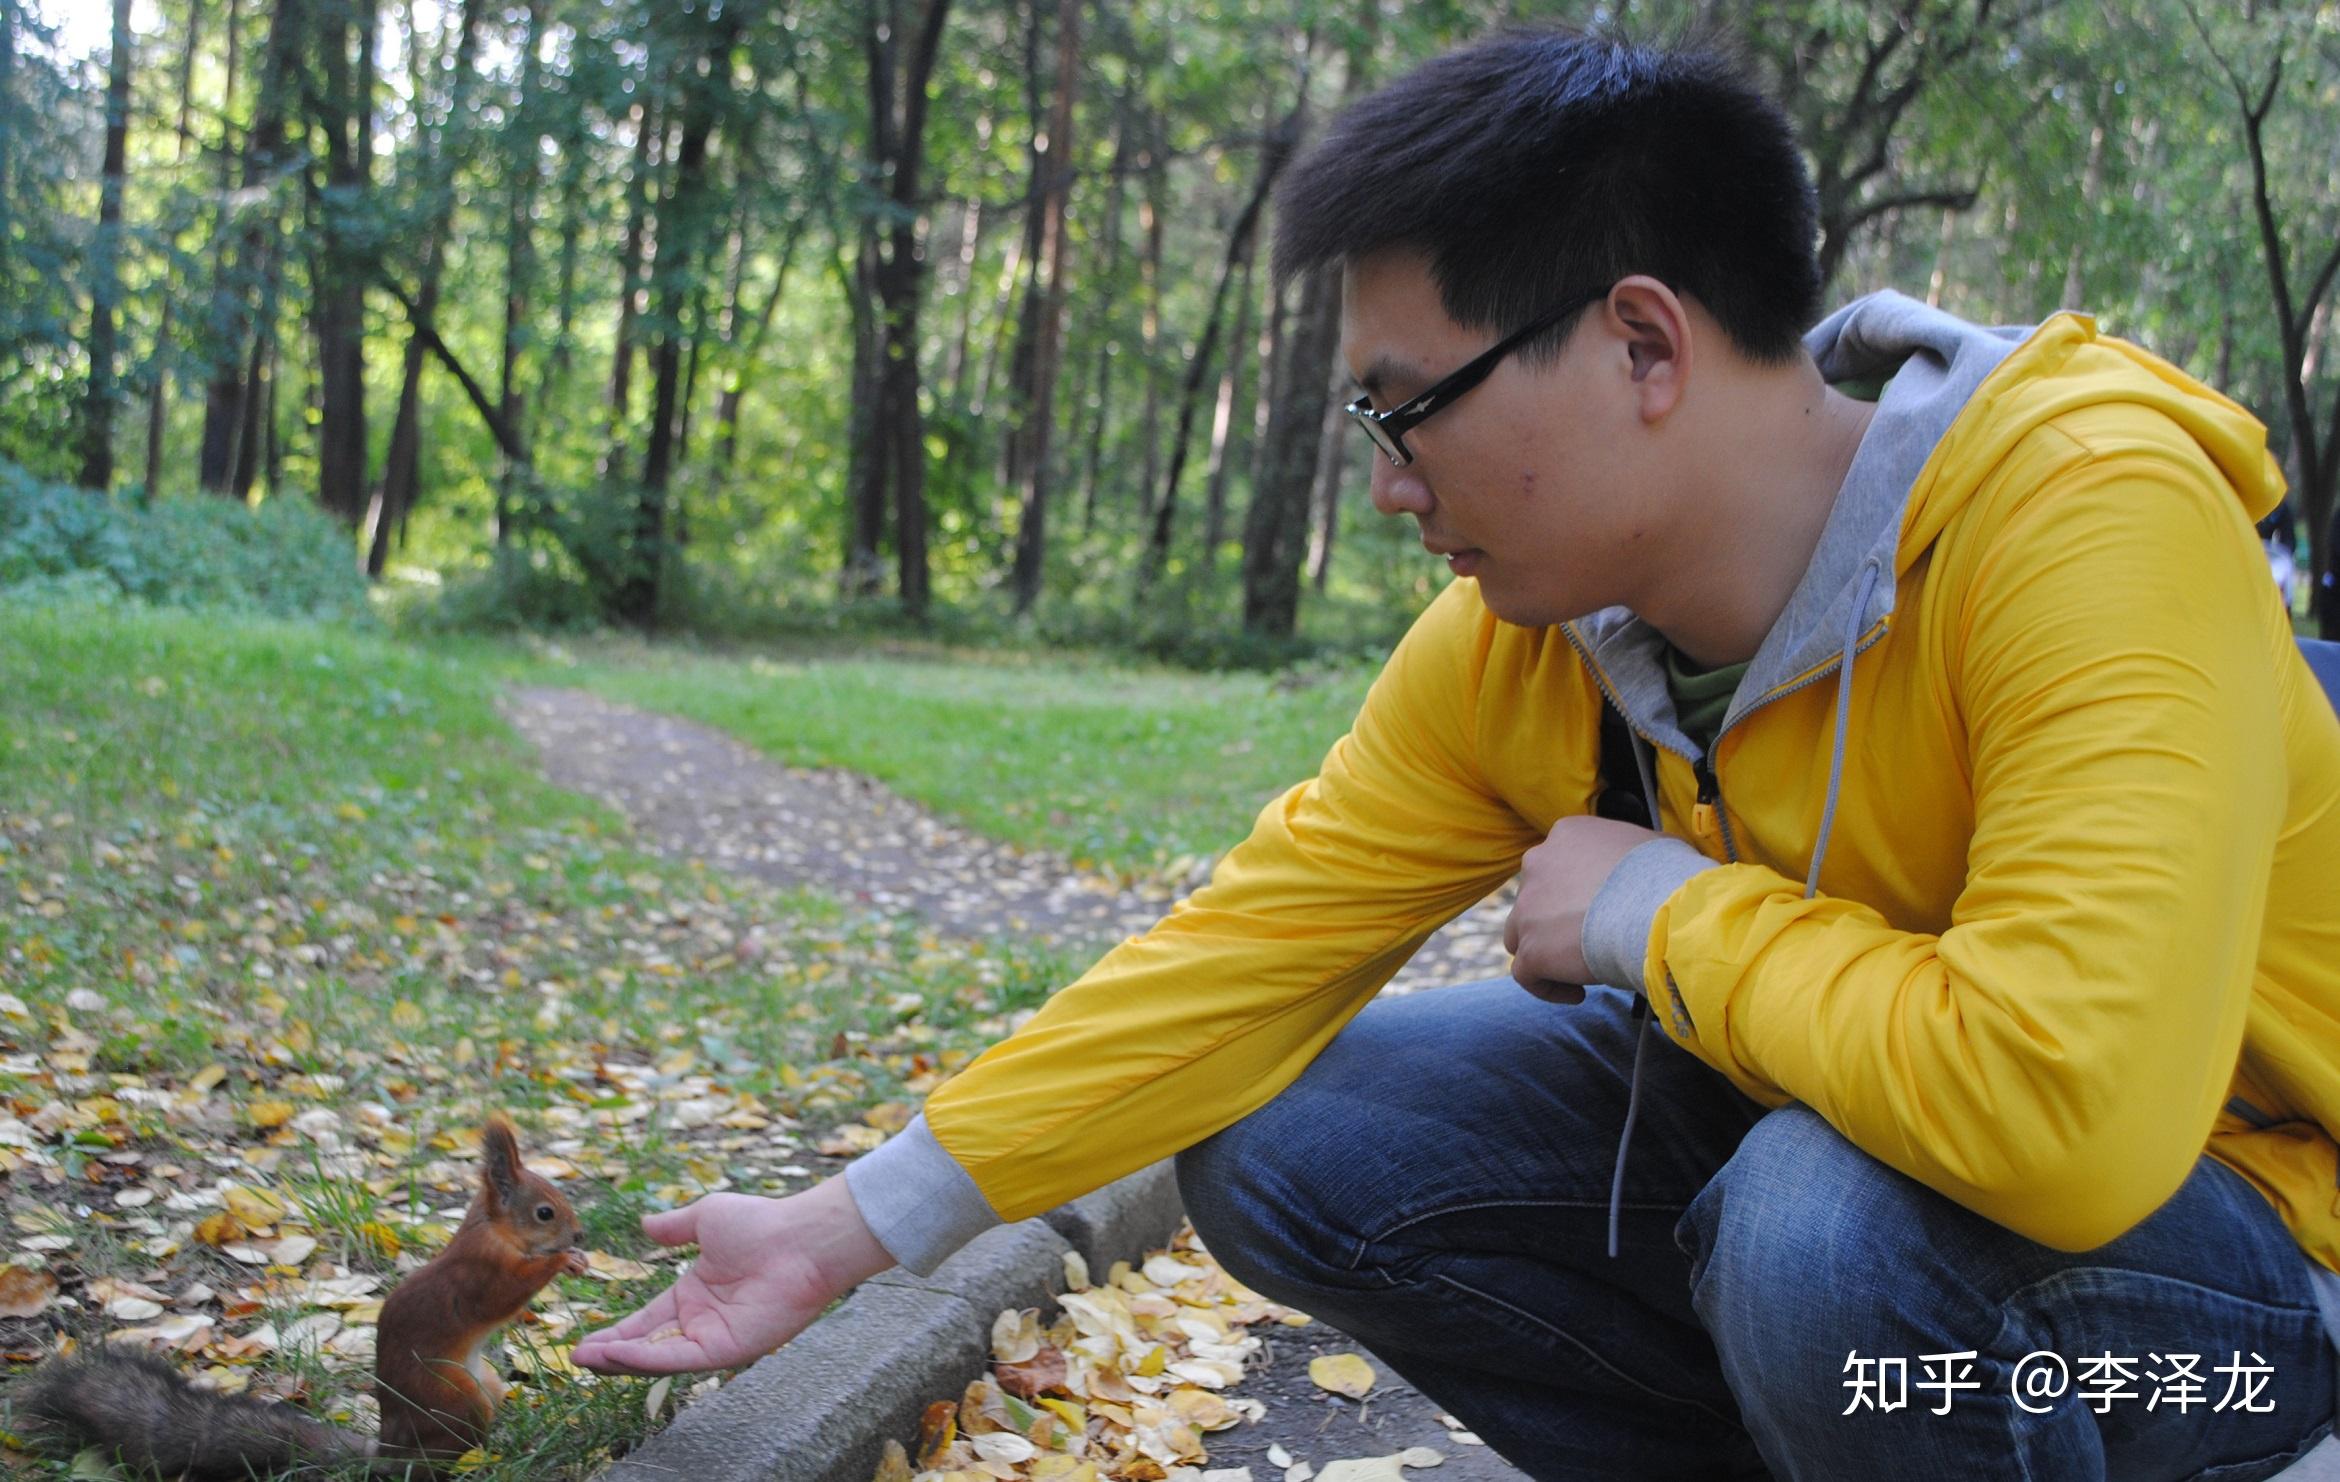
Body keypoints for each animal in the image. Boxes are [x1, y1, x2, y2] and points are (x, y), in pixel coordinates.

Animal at [26, 1114, 589, 1470]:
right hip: (453, 1397)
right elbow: (502, 1297)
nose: (580, 1235)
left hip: (482, 1387)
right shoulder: (478, 1273)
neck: (493, 1230)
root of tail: (392, 1450)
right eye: (545, 1212)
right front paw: (560, 1261)